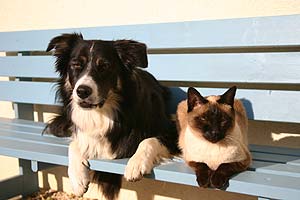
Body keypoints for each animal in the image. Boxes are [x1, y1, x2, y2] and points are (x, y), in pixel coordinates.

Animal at [45, 33, 178, 199]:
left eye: (104, 66)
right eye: (76, 65)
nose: (82, 91)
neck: (102, 113)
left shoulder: (172, 131)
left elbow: (149, 140)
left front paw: (136, 162)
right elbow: (75, 143)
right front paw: (77, 178)